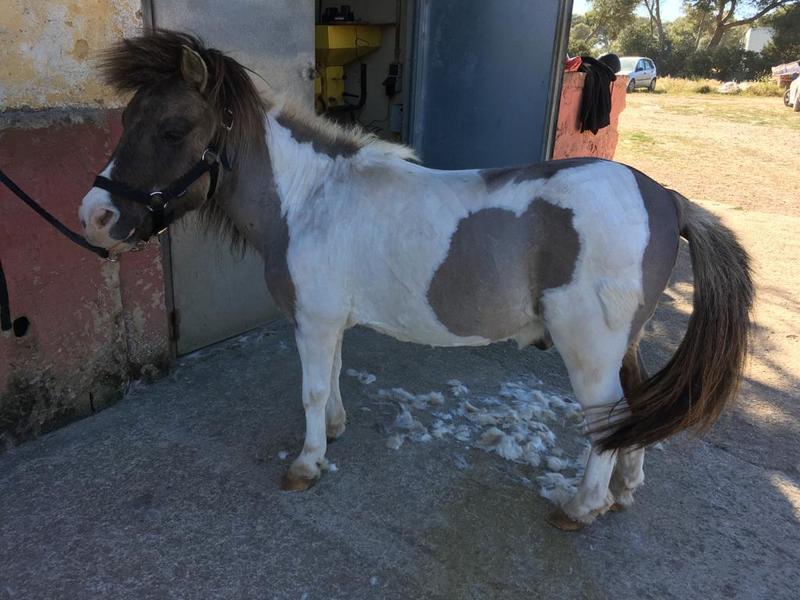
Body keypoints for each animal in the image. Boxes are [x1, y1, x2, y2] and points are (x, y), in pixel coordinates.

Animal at [79, 31, 754, 530]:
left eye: (171, 129)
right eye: (126, 119)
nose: (96, 216)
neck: (311, 197)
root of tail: (666, 198)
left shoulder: (313, 321)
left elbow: (312, 390)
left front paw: (306, 464)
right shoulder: (330, 321)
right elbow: (334, 377)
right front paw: (334, 432)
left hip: (589, 352)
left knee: (604, 420)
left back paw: (582, 507)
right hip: (623, 345)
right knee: (633, 410)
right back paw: (623, 491)